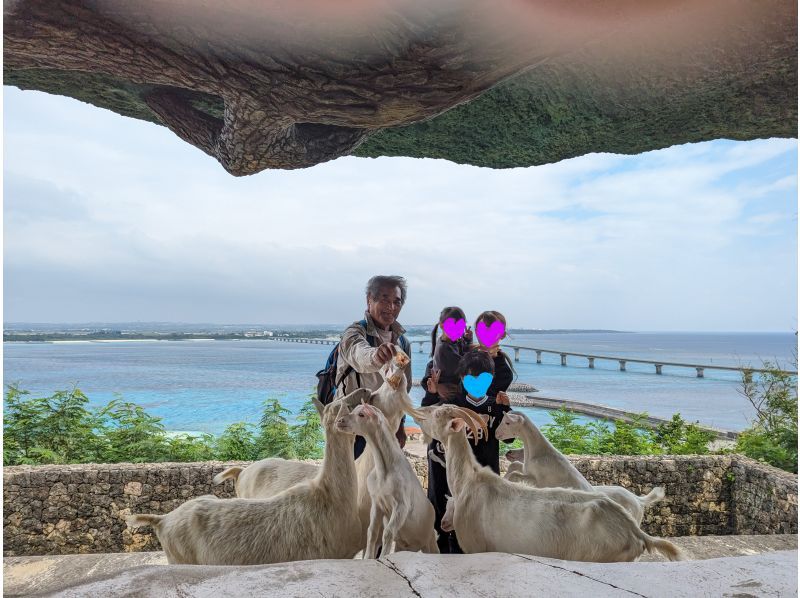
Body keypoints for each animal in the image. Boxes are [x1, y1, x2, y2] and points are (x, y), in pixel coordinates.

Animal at [336, 400, 438, 560]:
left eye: (362, 414)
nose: (340, 421)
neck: (384, 471)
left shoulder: (401, 506)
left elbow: (388, 532)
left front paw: (383, 556)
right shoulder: (377, 503)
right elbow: (372, 532)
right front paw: (368, 558)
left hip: (430, 541)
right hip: (404, 545)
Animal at [496, 412, 664, 524]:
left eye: (508, 423)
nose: (497, 434)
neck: (540, 452)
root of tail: (639, 500)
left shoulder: (540, 481)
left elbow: (515, 474)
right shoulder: (528, 472)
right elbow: (515, 467)